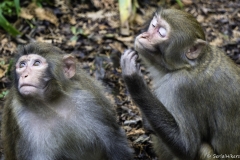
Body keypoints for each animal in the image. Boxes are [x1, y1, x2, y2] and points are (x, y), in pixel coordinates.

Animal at [1, 42, 133, 160]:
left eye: (36, 63)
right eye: (22, 65)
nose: (25, 75)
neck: (51, 104)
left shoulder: (89, 102)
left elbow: (114, 143)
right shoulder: (24, 119)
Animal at [121, 7, 240, 160]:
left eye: (161, 33)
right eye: (153, 25)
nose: (144, 36)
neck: (186, 66)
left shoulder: (180, 88)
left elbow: (186, 147)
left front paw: (134, 80)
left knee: (203, 149)